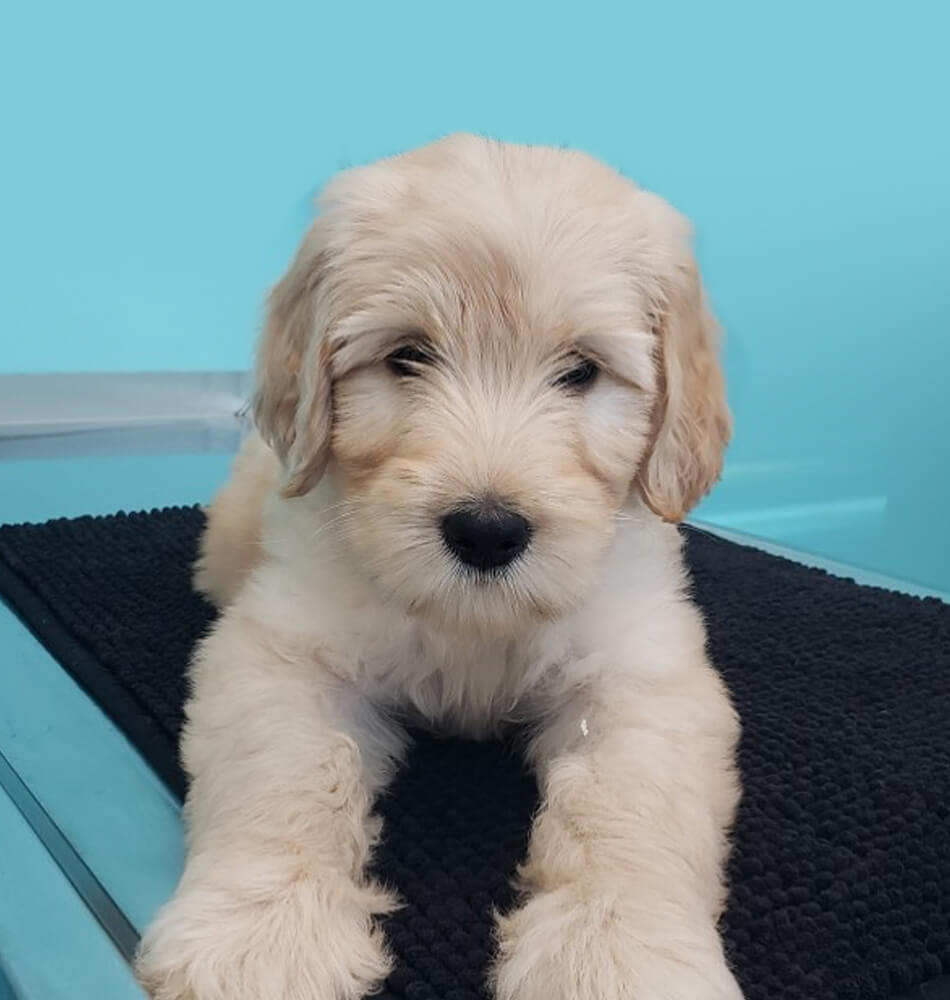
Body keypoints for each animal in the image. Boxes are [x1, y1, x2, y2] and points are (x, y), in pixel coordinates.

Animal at [136, 135, 744, 1000]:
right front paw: (261, 934)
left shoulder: (640, 673)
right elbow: (287, 775)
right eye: (408, 356)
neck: (473, 624)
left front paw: (617, 952)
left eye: (582, 370)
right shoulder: (285, 653)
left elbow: (629, 808)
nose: (486, 531)